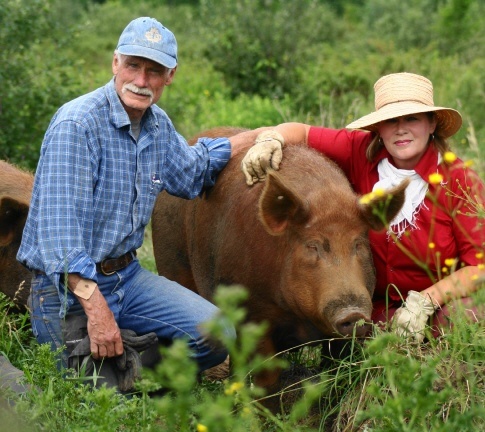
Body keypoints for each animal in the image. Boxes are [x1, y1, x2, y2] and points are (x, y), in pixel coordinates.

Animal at [150, 126, 404, 394]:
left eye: (358, 244)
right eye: (311, 245)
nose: (353, 313)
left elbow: (338, 372)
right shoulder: (251, 315)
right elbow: (266, 379)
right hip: (171, 261)